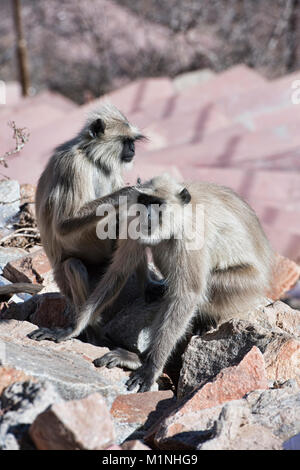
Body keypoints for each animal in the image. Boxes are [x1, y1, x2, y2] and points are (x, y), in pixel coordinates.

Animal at [28, 103, 161, 342]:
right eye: (126, 141)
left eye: (133, 142)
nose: (133, 150)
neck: (92, 159)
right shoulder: (72, 165)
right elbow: (63, 224)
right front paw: (132, 191)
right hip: (73, 281)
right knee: (74, 266)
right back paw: (90, 331)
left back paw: (146, 286)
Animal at [86, 174, 274, 392]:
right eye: (144, 201)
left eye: (157, 204)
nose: (147, 215)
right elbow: (118, 271)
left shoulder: (190, 235)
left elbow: (187, 295)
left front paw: (151, 369)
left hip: (247, 284)